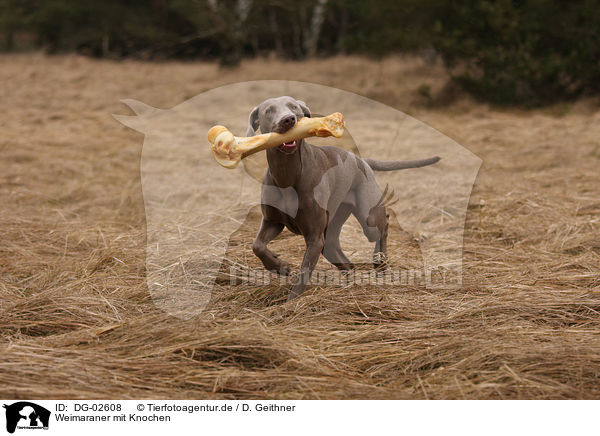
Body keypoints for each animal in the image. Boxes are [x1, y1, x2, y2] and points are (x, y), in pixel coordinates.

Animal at [246, 96, 438, 302]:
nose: (288, 119)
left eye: (294, 107)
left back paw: (380, 263)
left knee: (383, 223)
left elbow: (304, 273)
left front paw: (290, 303)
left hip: (368, 218)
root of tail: (362, 161)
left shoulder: (314, 236)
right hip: (334, 223)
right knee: (339, 254)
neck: (287, 175)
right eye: (268, 111)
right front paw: (279, 266)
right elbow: (257, 245)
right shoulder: (272, 221)